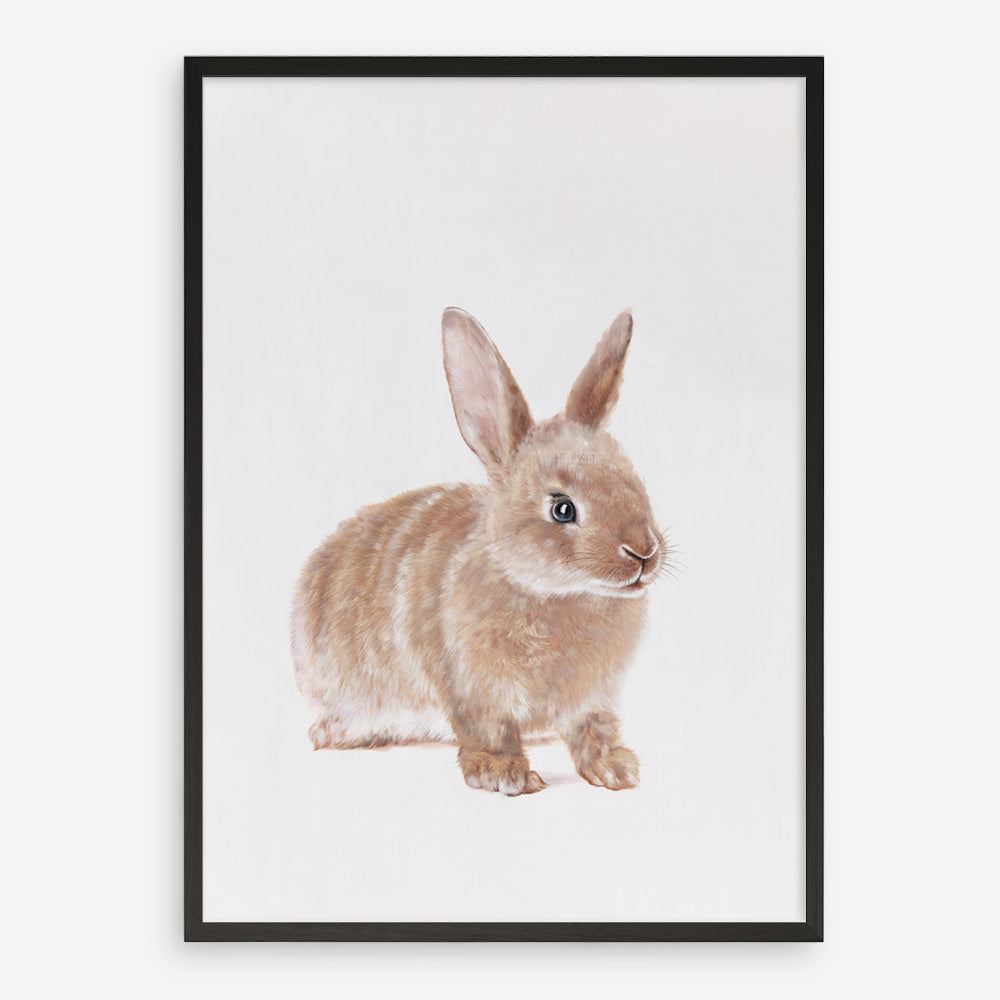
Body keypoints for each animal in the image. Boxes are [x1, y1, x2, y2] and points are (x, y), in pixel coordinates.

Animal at [291, 307, 666, 795]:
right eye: (562, 508)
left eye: (634, 482)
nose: (644, 553)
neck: (551, 592)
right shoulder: (476, 688)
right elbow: (491, 731)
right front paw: (505, 775)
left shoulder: (593, 699)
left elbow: (593, 730)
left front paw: (616, 770)